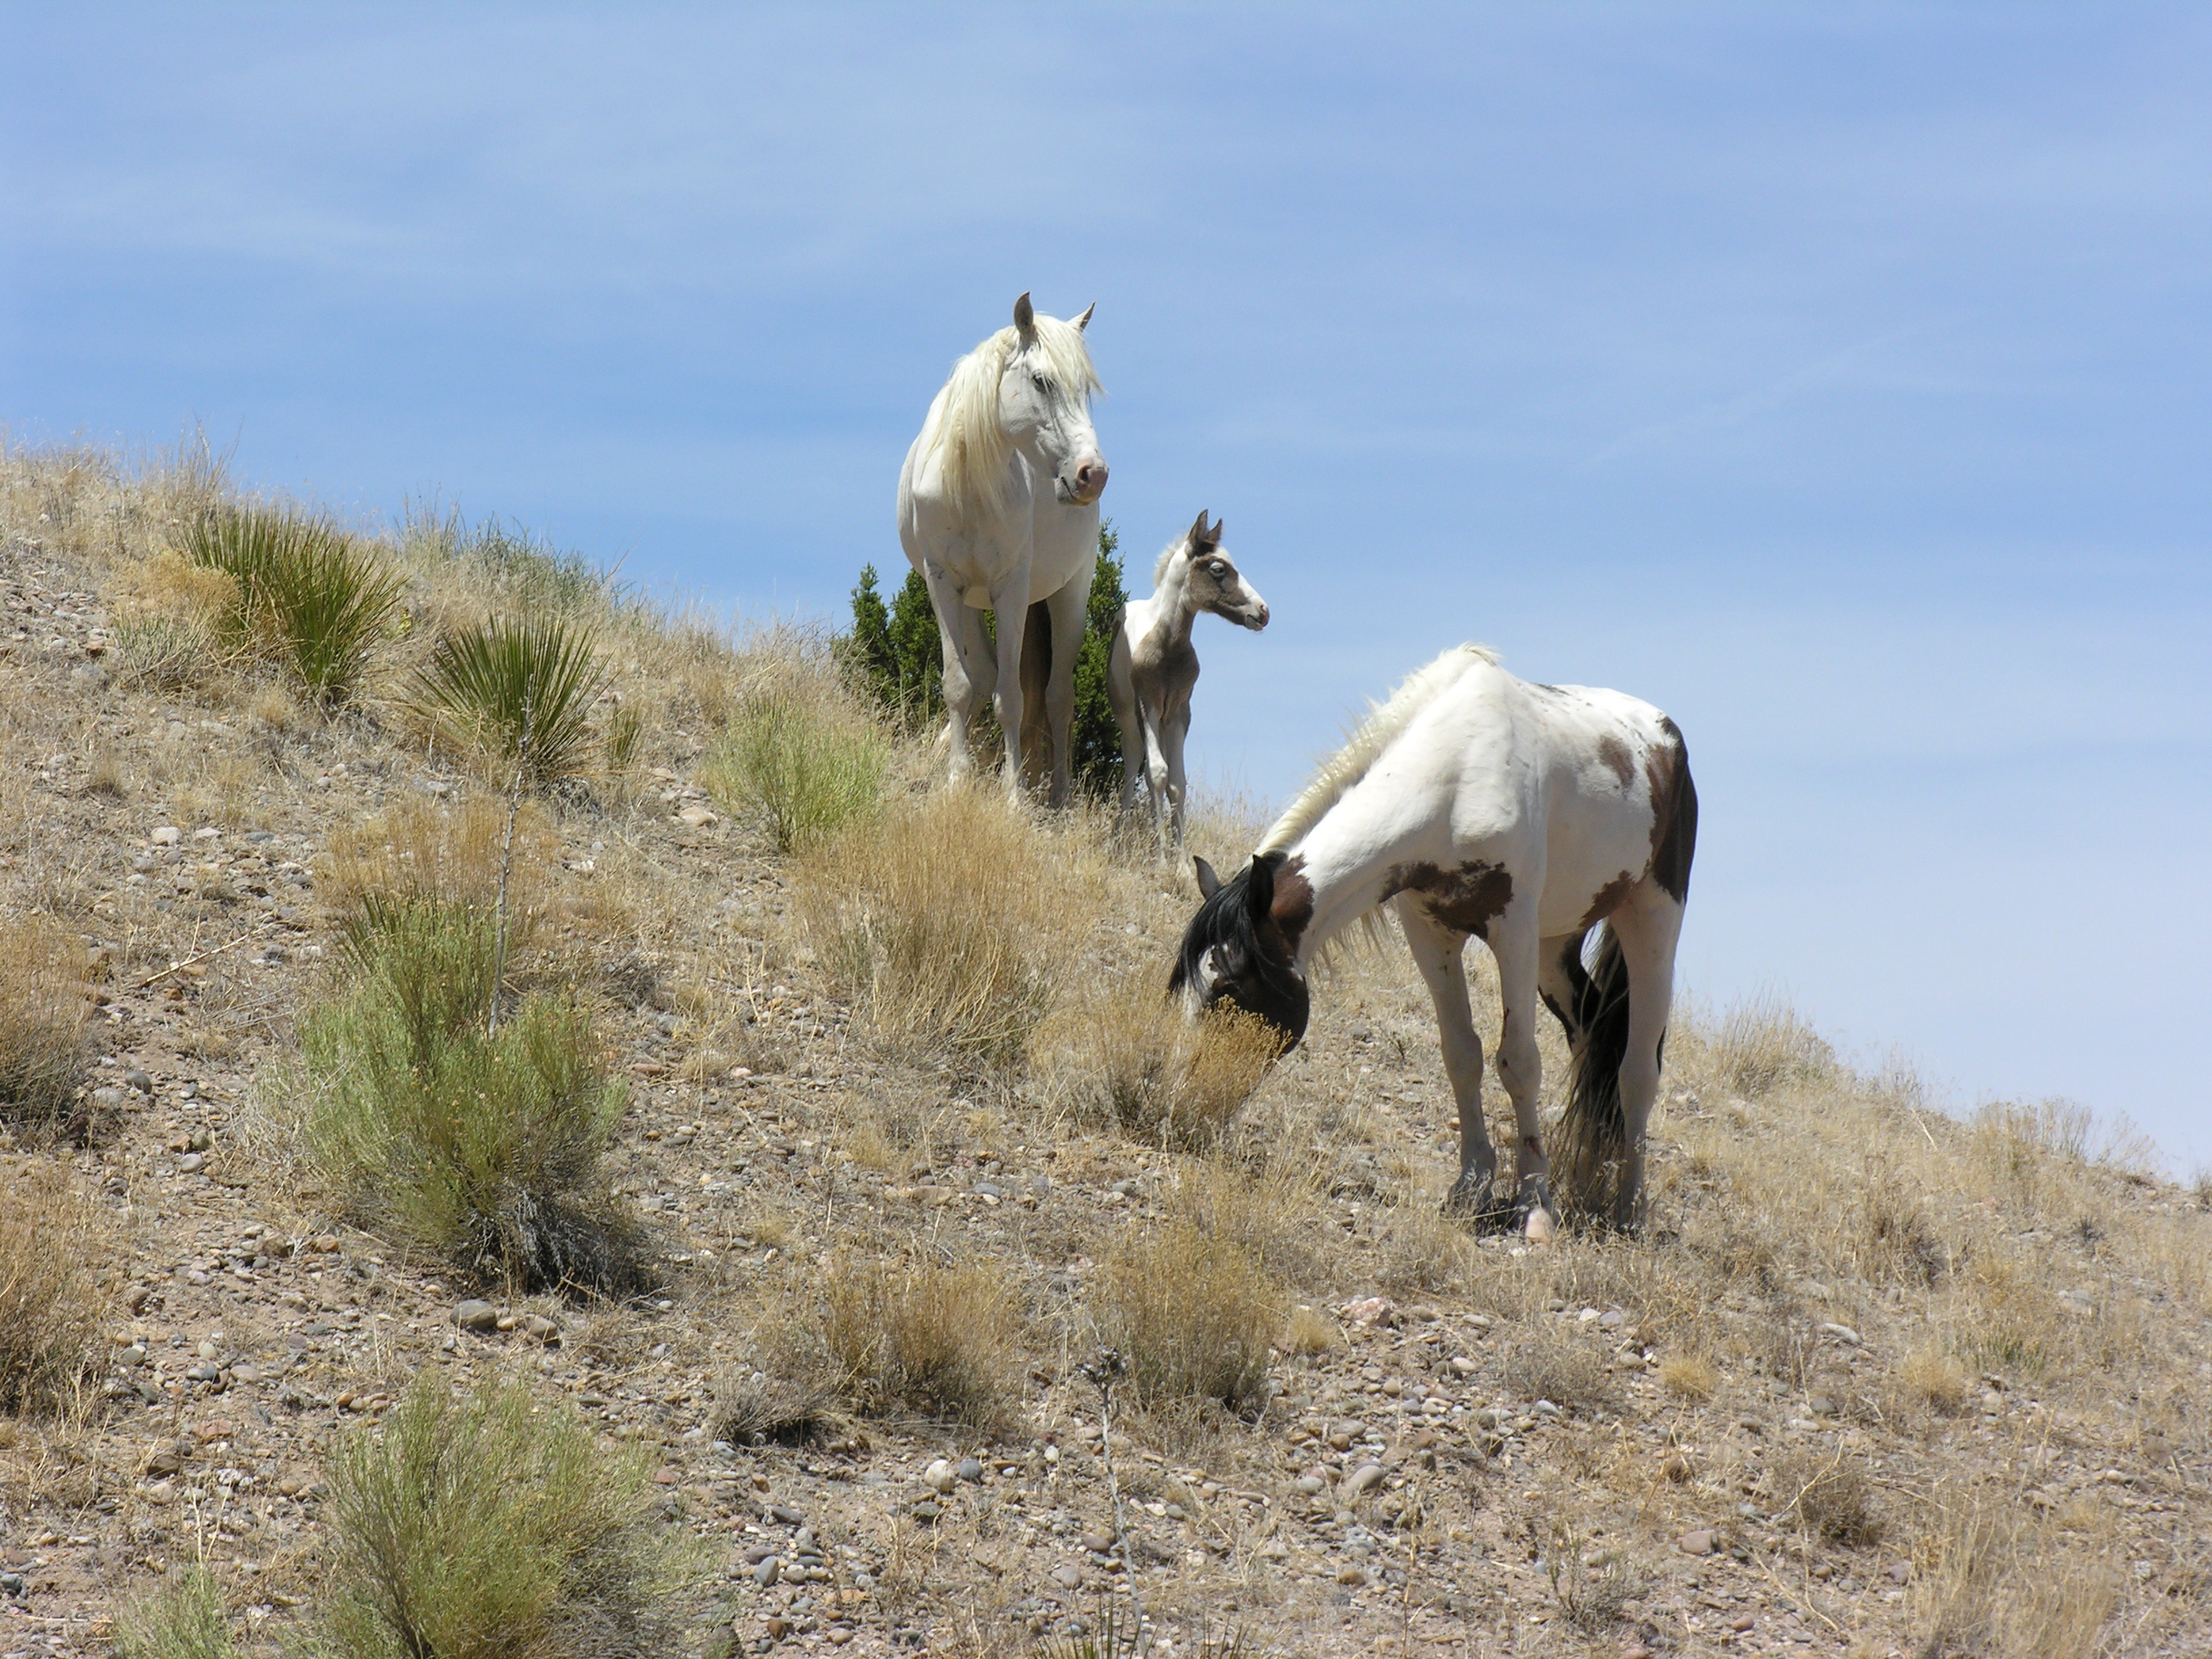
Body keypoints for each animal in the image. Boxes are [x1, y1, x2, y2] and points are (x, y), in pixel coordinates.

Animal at [896, 293, 1107, 805]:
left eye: (1085, 389)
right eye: (1041, 381)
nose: (1093, 474)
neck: (969, 485)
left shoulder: (1010, 587)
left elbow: (1013, 698)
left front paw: (1014, 796)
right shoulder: (942, 583)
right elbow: (959, 685)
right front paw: (957, 780)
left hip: (1068, 594)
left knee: (1057, 697)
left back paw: (1059, 797)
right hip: (975, 602)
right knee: (986, 675)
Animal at [1107, 510, 1269, 844]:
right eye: (1218, 569)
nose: (1263, 611)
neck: (1168, 646)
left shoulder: (1180, 710)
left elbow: (1177, 783)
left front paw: (1180, 857)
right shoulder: (1148, 703)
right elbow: (1156, 773)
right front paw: (1161, 854)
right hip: (1127, 717)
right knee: (1133, 763)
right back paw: (1120, 833)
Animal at [1169, 644, 1697, 1238]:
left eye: (1230, 991)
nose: (1186, 1100)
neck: (1457, 775)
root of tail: (1667, 740)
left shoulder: (1512, 929)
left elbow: (1519, 1061)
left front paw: (1534, 1205)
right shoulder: (1430, 932)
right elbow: (1461, 1055)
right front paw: (1470, 1187)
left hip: (1651, 920)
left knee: (1637, 1070)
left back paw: (1630, 1206)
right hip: (1555, 944)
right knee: (1590, 1037)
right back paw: (1586, 1177)